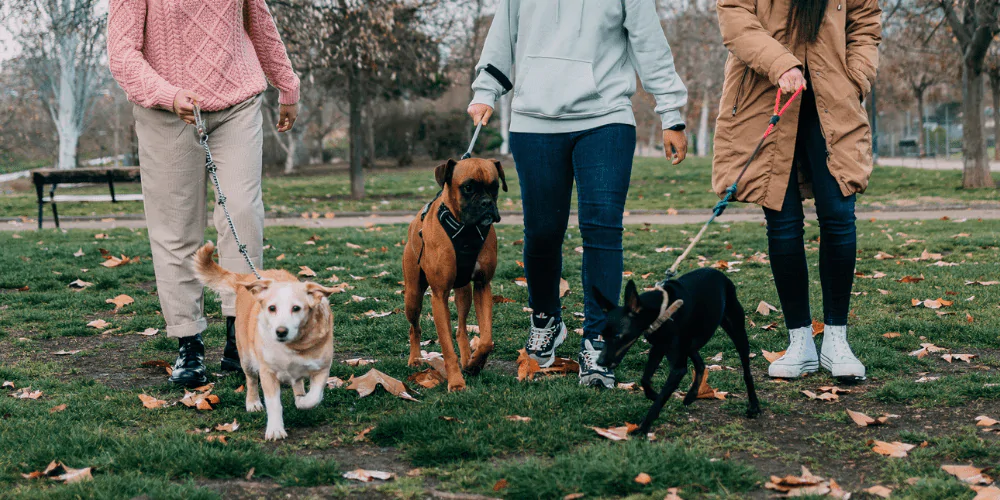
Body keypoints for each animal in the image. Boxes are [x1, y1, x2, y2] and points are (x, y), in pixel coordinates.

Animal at [402, 158, 508, 392]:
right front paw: (457, 382)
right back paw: (415, 359)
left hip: (464, 293)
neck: (466, 230)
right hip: (413, 297)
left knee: (461, 330)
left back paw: (468, 359)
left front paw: (475, 365)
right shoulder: (439, 296)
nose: (487, 203)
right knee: (415, 328)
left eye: (495, 186)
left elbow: (486, 340)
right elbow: (447, 348)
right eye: (468, 187)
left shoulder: (482, 285)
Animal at [596, 268, 760, 436]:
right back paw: (691, 395)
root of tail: (717, 271)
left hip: (737, 332)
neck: (663, 310)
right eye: (602, 335)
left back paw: (753, 405)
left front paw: (643, 427)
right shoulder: (658, 348)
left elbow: (660, 400)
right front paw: (653, 395)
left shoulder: (676, 367)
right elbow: (645, 380)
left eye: (618, 336)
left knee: (746, 371)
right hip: (689, 345)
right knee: (700, 364)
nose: (600, 362)